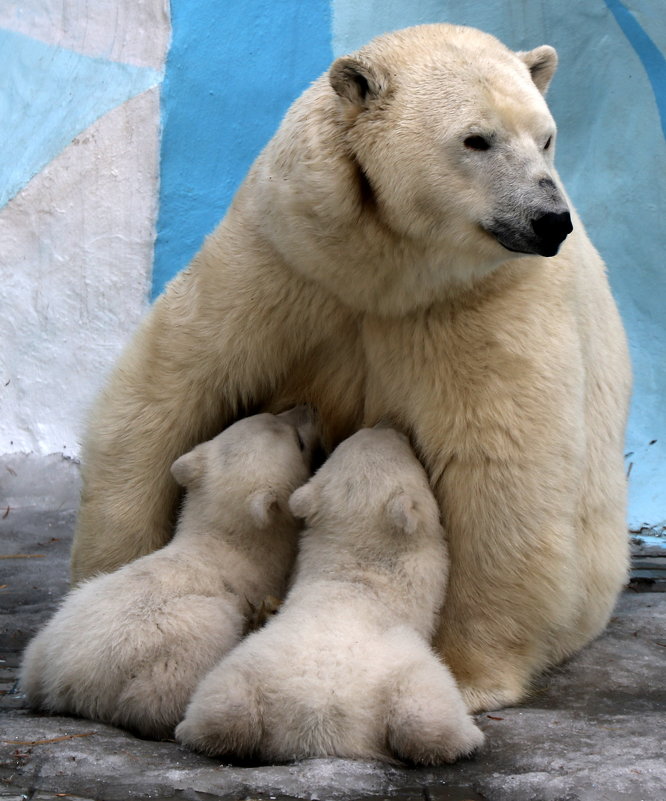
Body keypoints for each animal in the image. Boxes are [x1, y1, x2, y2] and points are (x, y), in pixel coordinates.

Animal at [72, 26, 628, 712]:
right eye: (477, 139)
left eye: (545, 137)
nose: (549, 220)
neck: (381, 270)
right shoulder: (284, 257)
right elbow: (174, 383)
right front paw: (110, 576)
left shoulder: (481, 301)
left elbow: (499, 461)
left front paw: (468, 674)